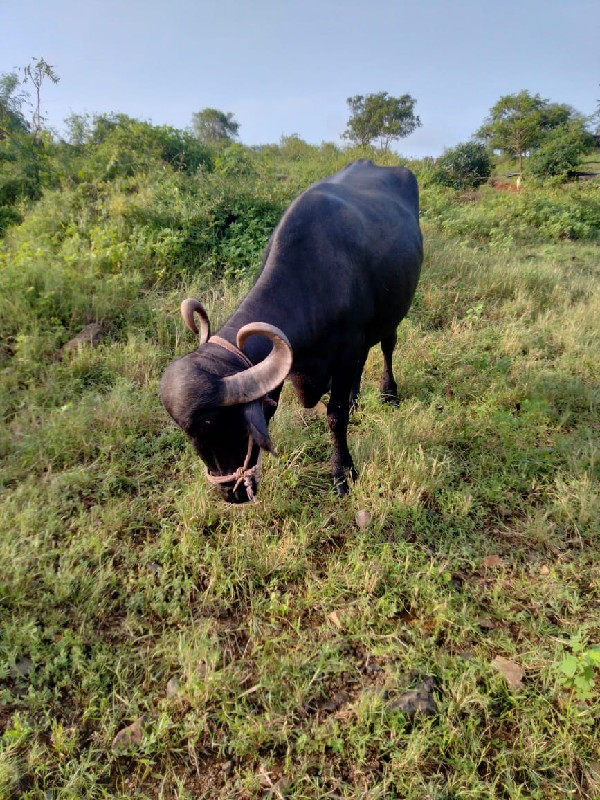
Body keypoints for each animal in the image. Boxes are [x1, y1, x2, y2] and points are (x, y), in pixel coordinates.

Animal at [159, 159, 422, 504]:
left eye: (224, 425)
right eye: (190, 435)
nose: (231, 494)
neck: (313, 279)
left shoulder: (346, 350)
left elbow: (336, 416)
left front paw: (342, 473)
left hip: (394, 311)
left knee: (387, 346)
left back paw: (388, 392)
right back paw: (356, 396)